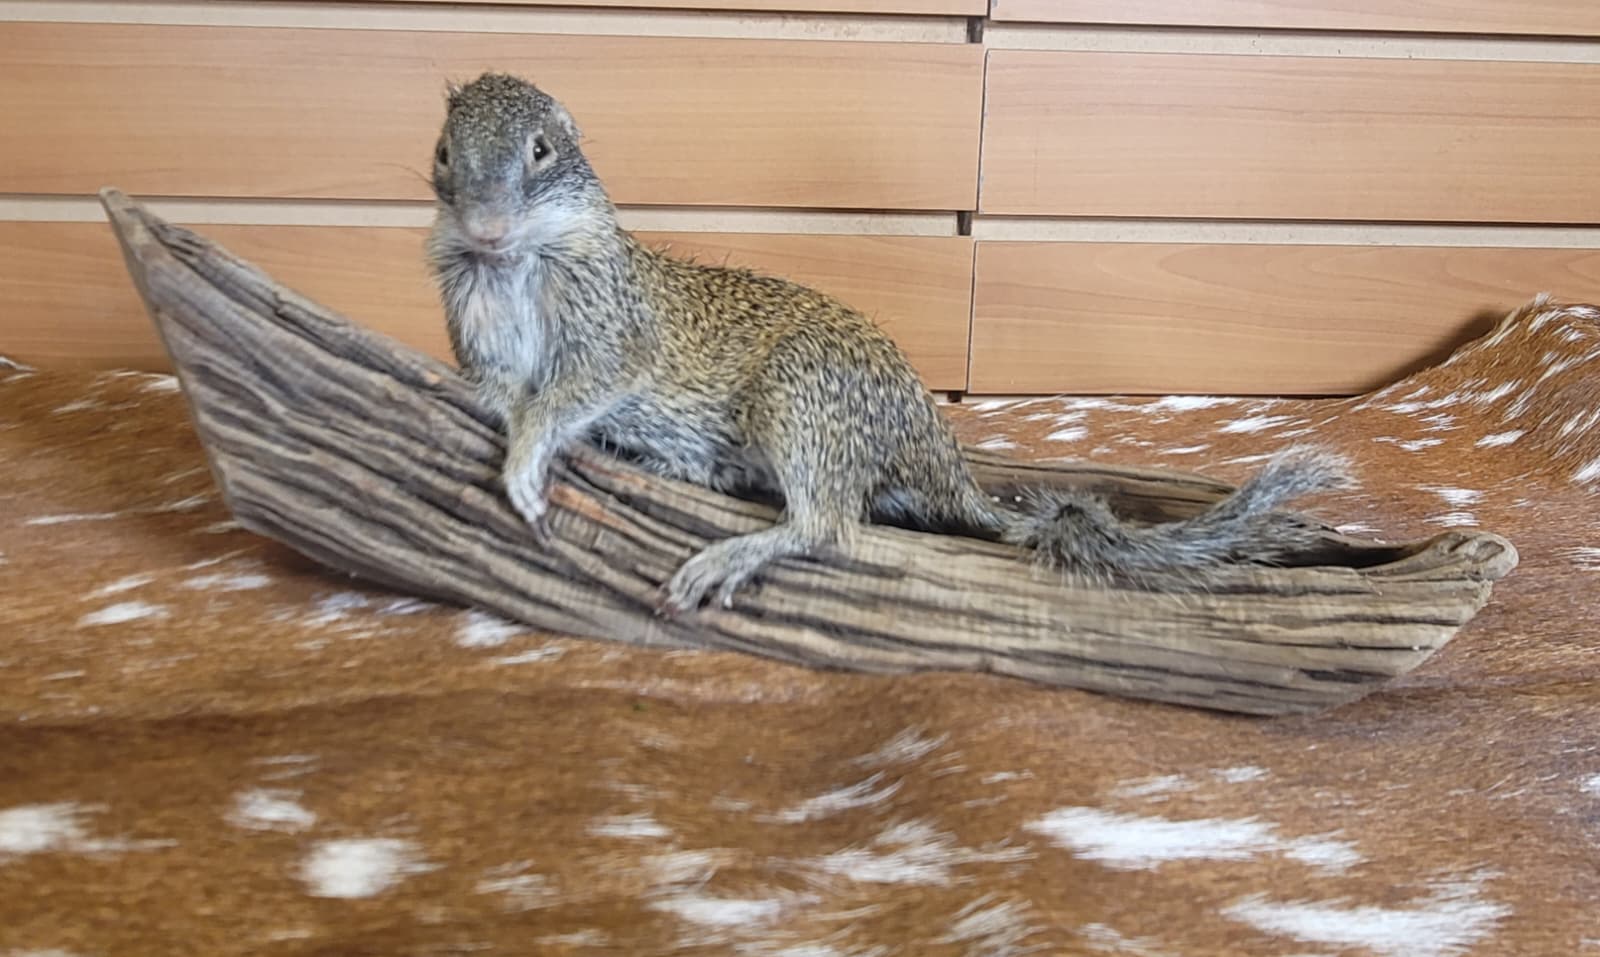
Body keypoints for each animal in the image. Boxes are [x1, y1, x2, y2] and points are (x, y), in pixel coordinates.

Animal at [425, 73, 1352, 614]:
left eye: (543, 150)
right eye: (441, 152)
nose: (487, 224)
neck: (513, 263)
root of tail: (939, 461)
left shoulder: (613, 330)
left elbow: (577, 388)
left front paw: (526, 460)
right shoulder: (476, 328)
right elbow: (499, 387)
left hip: (801, 396)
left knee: (829, 525)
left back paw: (728, 550)